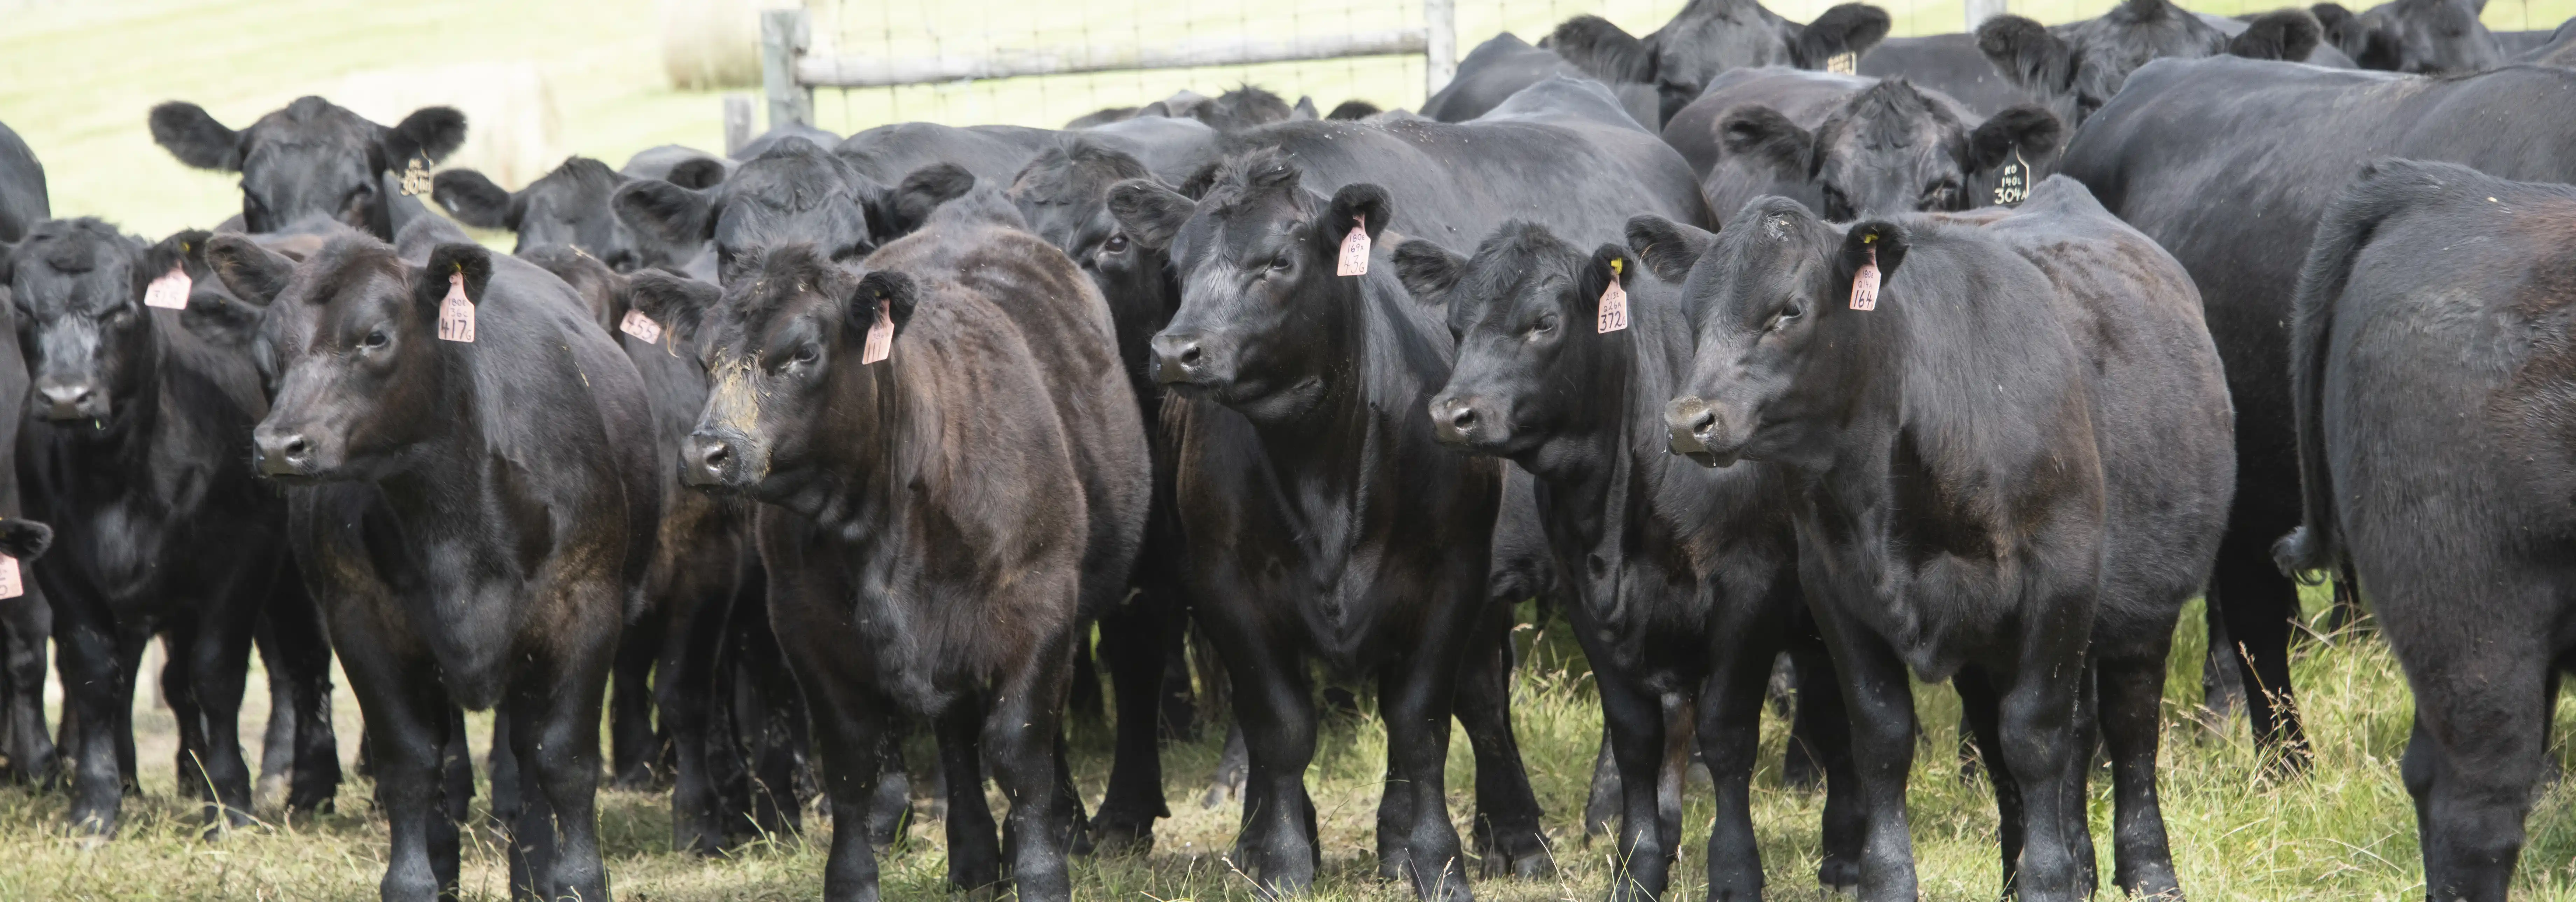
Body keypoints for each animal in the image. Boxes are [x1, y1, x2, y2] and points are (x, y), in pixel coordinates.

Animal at [4, 219, 343, 836]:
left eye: (122, 309)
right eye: (23, 309)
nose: (66, 397)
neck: (116, 473)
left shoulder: (243, 558)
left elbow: (217, 675)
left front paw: (229, 802)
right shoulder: (63, 565)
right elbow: (94, 674)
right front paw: (95, 805)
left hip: (296, 570)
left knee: (307, 659)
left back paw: (310, 786)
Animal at [201, 220, 658, 902]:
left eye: (375, 337)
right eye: (269, 350)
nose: (281, 447)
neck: (452, 519)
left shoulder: (586, 609)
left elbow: (566, 759)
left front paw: (578, 880)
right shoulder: (363, 621)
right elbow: (410, 763)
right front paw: (414, 881)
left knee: (529, 756)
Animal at [622, 188, 1149, 902]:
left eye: (803, 354)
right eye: (704, 362)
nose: (707, 454)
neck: (882, 529)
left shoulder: (1039, 611)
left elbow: (1020, 753)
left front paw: (1043, 872)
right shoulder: (807, 631)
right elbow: (852, 765)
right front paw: (853, 881)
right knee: (956, 737)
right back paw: (973, 861)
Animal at [1398, 219, 1861, 900]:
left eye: (1543, 323)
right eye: (1456, 328)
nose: (1452, 415)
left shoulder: (1749, 592)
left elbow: (1727, 734)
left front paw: (1734, 872)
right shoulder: (1587, 599)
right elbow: (1636, 737)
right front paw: (1638, 866)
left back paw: (1846, 856)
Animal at [1661, 177, 2232, 901]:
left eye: (1788, 310)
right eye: (1689, 312)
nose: (1688, 421)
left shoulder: (2062, 582)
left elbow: (2035, 736)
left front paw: (2049, 879)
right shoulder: (1836, 589)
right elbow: (1883, 736)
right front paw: (1892, 878)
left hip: (2142, 613)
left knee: (2129, 728)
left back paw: (2146, 869)